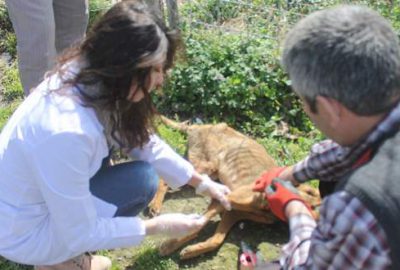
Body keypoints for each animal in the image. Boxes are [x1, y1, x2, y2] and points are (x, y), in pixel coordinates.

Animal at [151, 116, 322, 260]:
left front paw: (192, 250)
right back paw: (155, 204)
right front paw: (170, 245)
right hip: (205, 167)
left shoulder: (233, 212)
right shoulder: (226, 197)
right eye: (309, 192)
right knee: (165, 178)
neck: (268, 207)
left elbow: (217, 239)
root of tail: (199, 126)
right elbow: (199, 224)